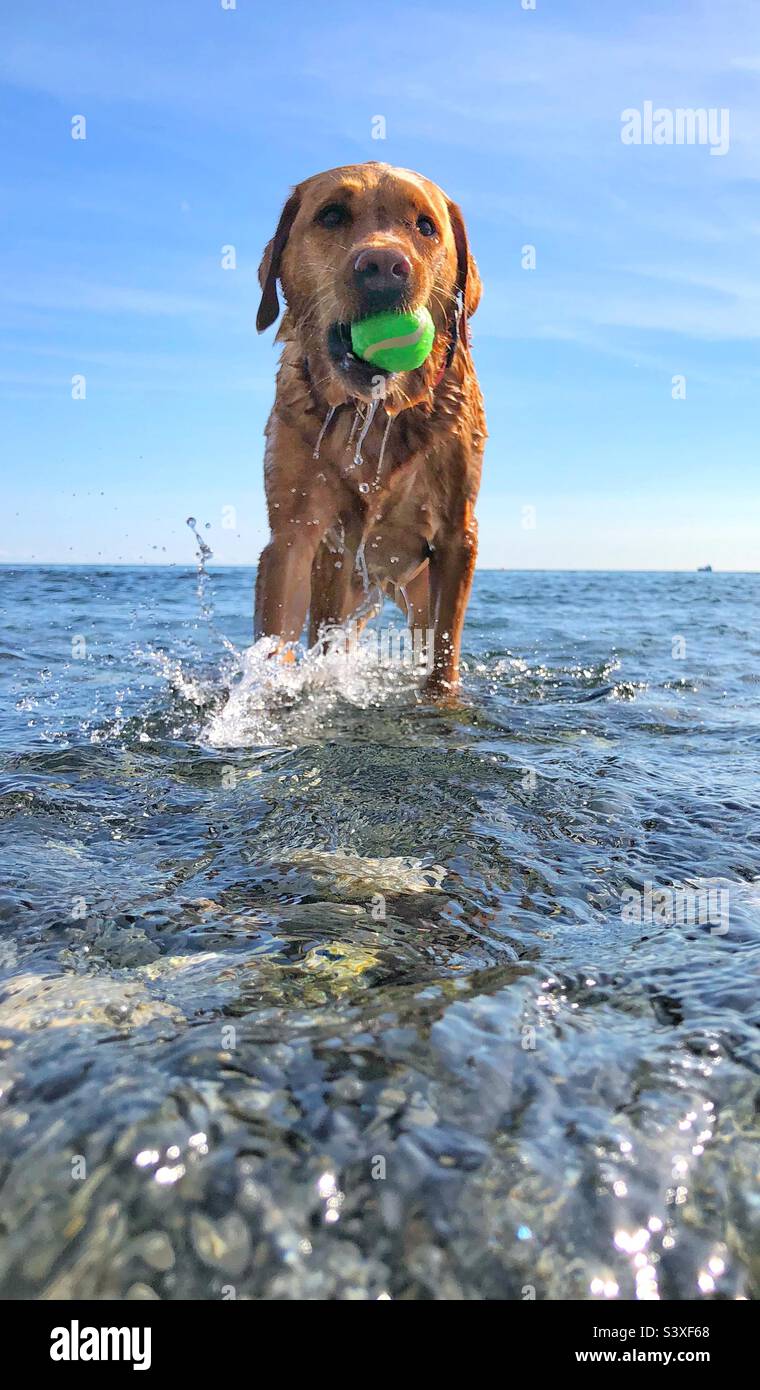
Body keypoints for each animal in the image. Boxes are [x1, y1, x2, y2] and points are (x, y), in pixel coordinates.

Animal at [252, 162, 483, 700]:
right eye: (332, 214)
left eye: (425, 226)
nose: (382, 265)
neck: (376, 414)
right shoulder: (293, 537)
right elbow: (277, 640)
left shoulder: (457, 536)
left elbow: (444, 656)